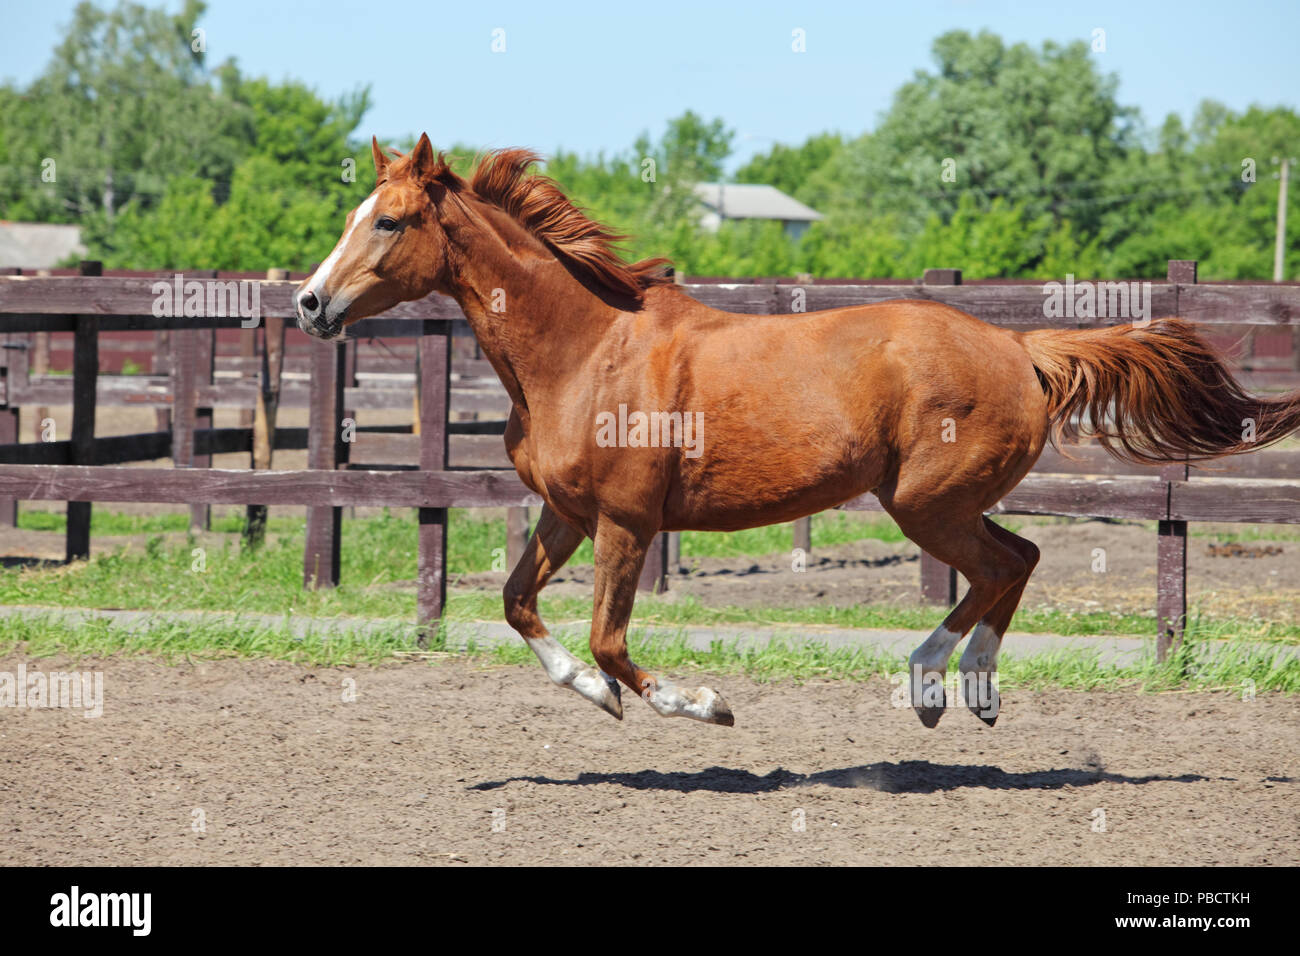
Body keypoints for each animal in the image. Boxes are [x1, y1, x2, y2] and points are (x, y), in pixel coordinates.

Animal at [295, 134, 1300, 728]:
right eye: (353, 215)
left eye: (391, 222)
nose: (309, 303)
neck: (583, 351)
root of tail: (1020, 348)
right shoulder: (568, 513)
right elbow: (517, 604)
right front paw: (595, 697)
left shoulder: (627, 522)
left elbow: (611, 637)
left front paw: (699, 704)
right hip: (942, 502)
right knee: (1016, 561)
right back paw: (968, 690)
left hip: (925, 502)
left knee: (1005, 565)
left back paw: (931, 681)